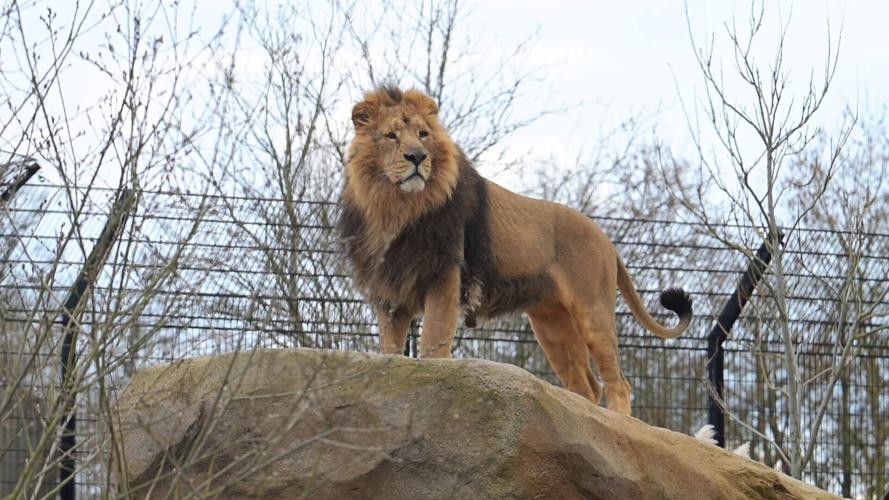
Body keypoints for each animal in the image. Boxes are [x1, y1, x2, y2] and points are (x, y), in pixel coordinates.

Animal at [337, 85, 692, 415]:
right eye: (391, 136)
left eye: (423, 134)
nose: (417, 157)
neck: (396, 209)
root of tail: (606, 239)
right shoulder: (390, 293)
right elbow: (390, 351)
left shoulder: (444, 278)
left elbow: (433, 345)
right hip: (552, 324)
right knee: (586, 385)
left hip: (592, 310)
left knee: (618, 382)